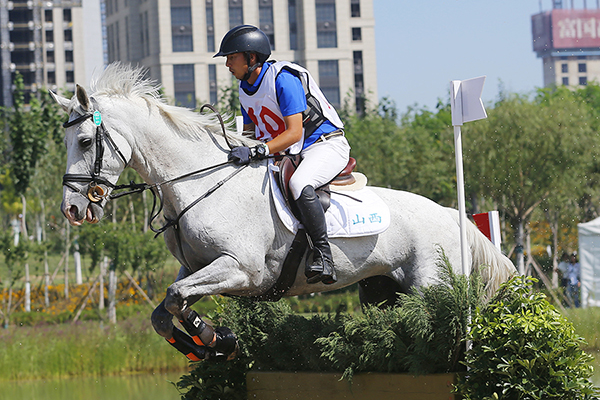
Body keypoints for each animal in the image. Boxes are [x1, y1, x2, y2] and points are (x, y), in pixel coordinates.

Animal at [50, 65, 516, 360]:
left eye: (87, 142)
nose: (72, 208)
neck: (198, 183)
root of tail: (451, 214)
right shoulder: (198, 267)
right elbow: (164, 311)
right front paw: (211, 346)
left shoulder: (242, 270)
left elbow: (177, 298)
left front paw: (216, 338)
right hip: (383, 289)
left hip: (430, 286)